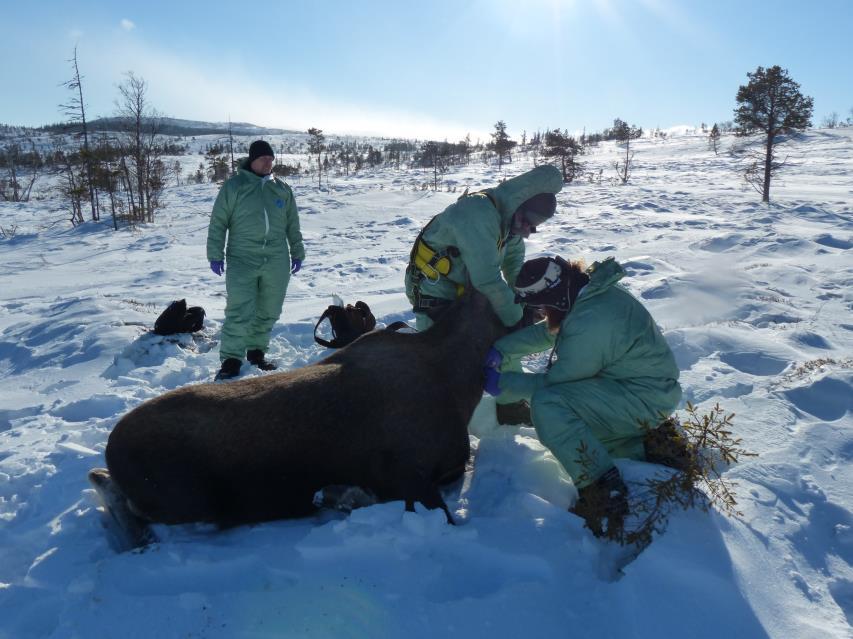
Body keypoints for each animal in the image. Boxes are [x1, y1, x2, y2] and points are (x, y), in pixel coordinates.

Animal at [90, 292, 506, 548]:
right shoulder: (408, 472)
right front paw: (342, 494)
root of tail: (112, 448)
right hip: (187, 499)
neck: (456, 381)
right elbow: (441, 512)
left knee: (101, 482)